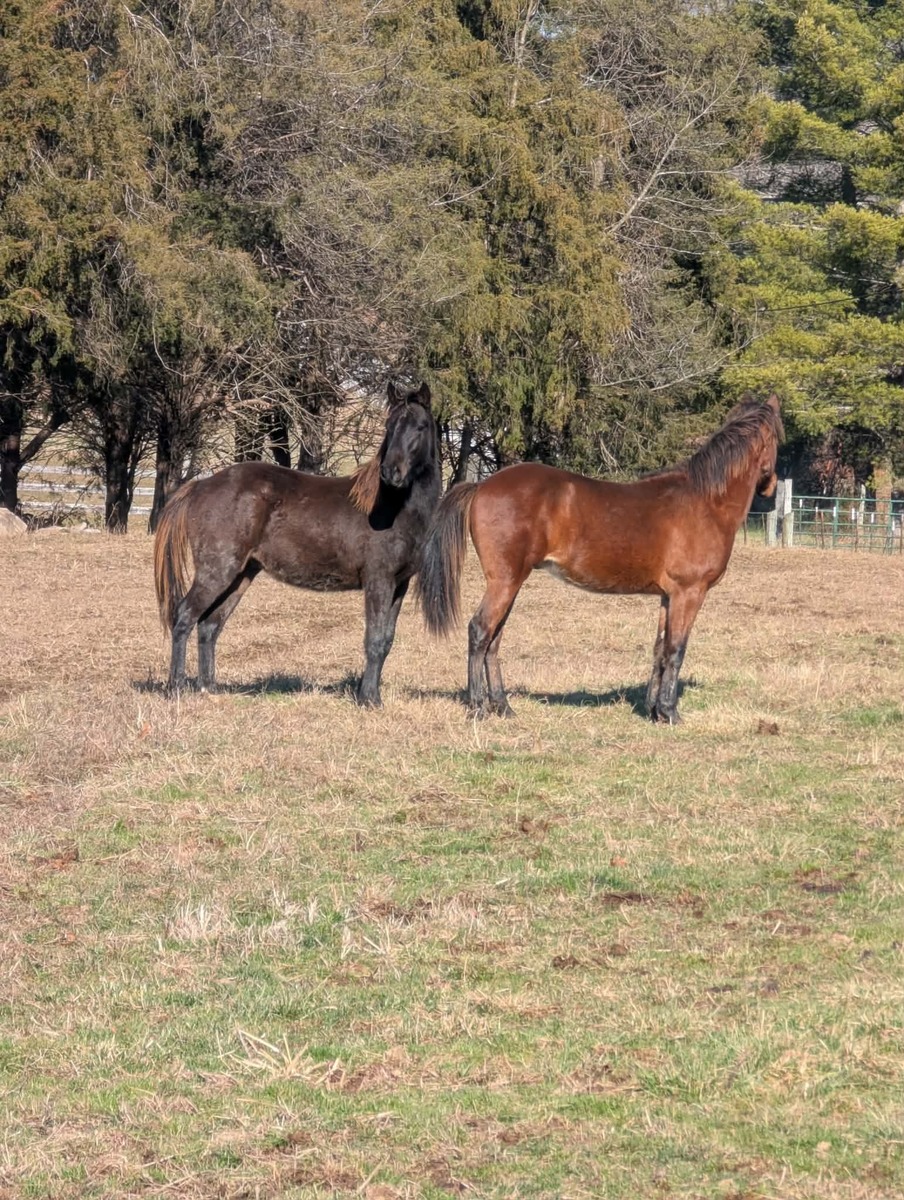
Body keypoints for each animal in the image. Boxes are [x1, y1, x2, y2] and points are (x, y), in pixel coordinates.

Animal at [154, 381, 440, 706]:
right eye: (389, 425)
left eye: (420, 426)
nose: (391, 472)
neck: (391, 506)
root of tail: (201, 485)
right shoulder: (378, 581)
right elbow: (375, 639)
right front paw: (369, 699)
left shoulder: (398, 584)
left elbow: (387, 640)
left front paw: (371, 695)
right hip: (216, 572)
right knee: (185, 616)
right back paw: (176, 688)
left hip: (240, 575)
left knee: (210, 624)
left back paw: (209, 688)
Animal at [417, 393, 783, 723]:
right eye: (778, 439)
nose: (771, 486)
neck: (705, 501)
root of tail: (481, 486)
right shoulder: (688, 593)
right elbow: (676, 650)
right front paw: (669, 713)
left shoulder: (668, 596)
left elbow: (659, 649)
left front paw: (652, 711)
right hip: (504, 581)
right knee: (480, 632)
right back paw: (479, 707)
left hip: (510, 583)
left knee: (494, 639)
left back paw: (503, 707)